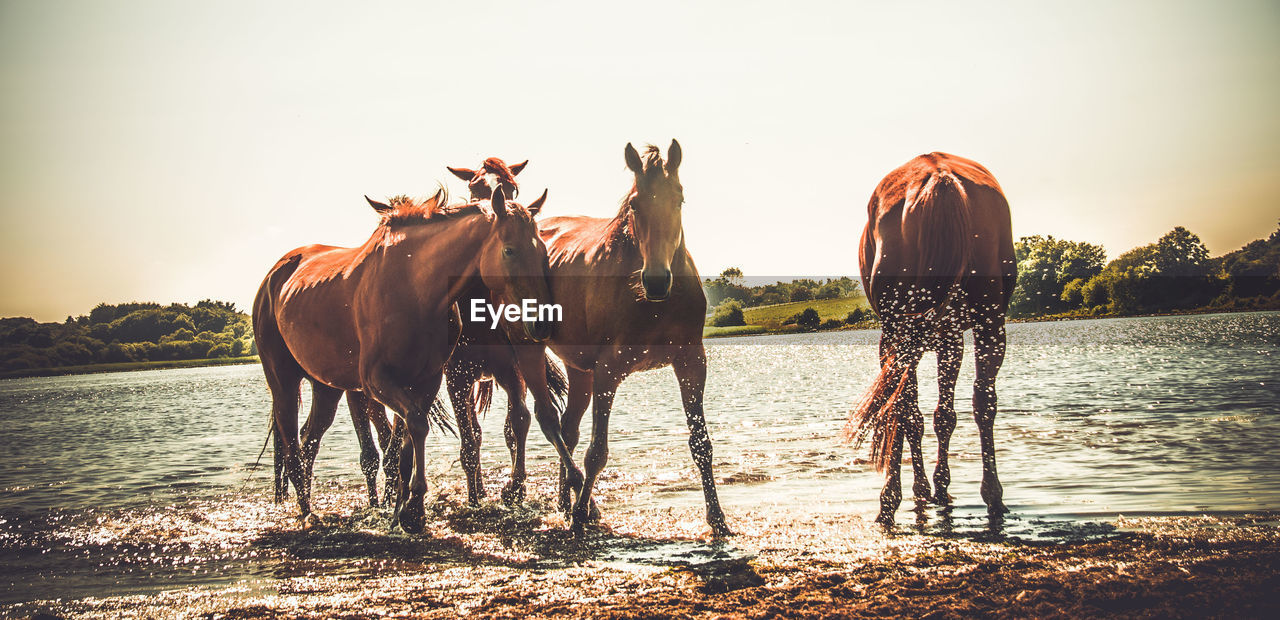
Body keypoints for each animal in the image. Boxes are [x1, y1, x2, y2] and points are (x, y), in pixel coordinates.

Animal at [248, 187, 586, 530]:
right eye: (509, 251)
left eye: (543, 253)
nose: (542, 324)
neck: (414, 289)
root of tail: (273, 276)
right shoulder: (380, 381)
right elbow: (417, 428)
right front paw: (411, 507)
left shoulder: (426, 381)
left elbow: (408, 443)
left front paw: (406, 508)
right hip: (284, 381)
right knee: (292, 444)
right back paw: (308, 513)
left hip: (327, 387)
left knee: (309, 439)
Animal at [535, 140, 732, 538]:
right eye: (636, 205)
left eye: (679, 198)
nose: (656, 281)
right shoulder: (609, 370)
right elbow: (597, 451)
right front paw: (581, 516)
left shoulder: (691, 362)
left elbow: (701, 443)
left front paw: (717, 518)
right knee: (554, 428)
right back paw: (578, 507)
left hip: (579, 370)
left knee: (567, 430)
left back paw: (566, 503)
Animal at [844, 152, 1013, 525]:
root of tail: (939, 174)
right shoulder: (951, 339)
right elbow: (943, 416)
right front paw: (938, 484)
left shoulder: (907, 339)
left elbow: (913, 415)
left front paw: (923, 487)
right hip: (989, 324)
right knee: (984, 402)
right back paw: (993, 495)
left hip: (899, 332)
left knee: (900, 407)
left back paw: (890, 499)